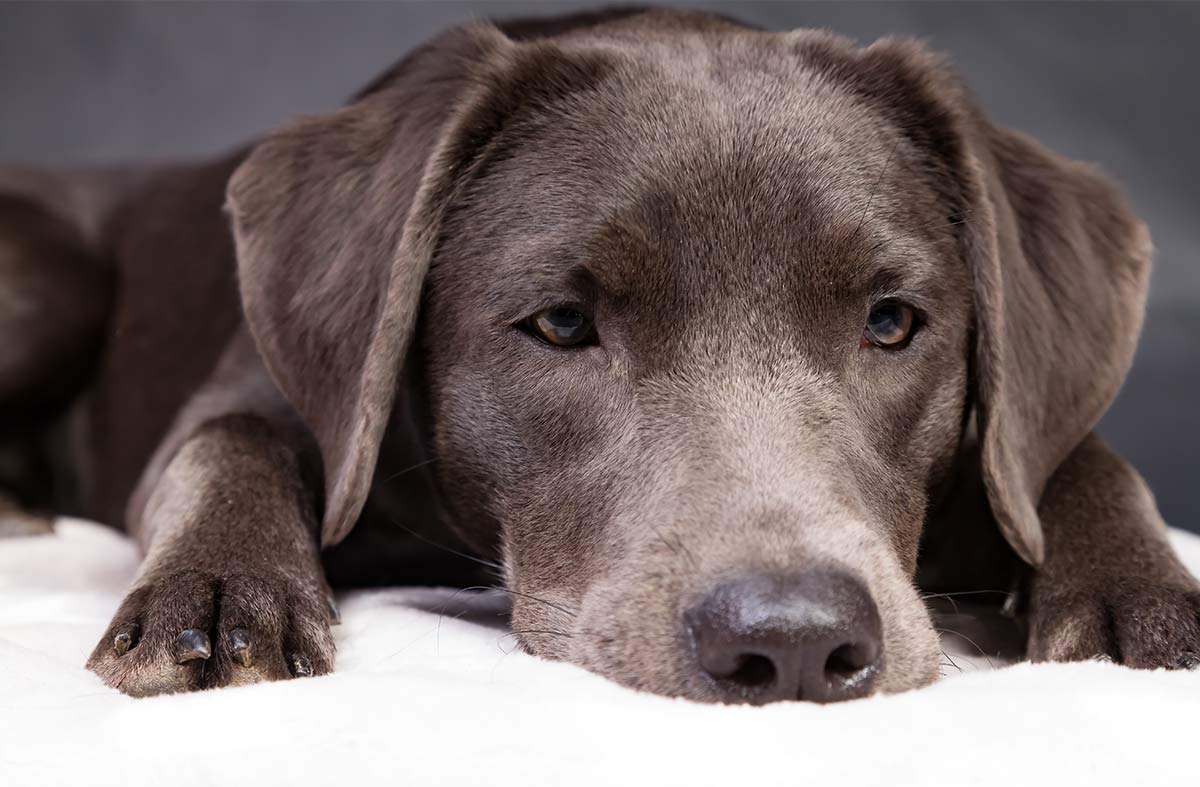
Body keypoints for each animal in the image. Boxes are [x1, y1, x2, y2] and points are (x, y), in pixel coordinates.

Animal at [0, 9, 1195, 700]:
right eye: (564, 324)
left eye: (893, 321)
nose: (794, 642)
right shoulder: (270, 391)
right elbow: (225, 442)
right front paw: (215, 597)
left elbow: (1078, 455)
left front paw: (1138, 594)